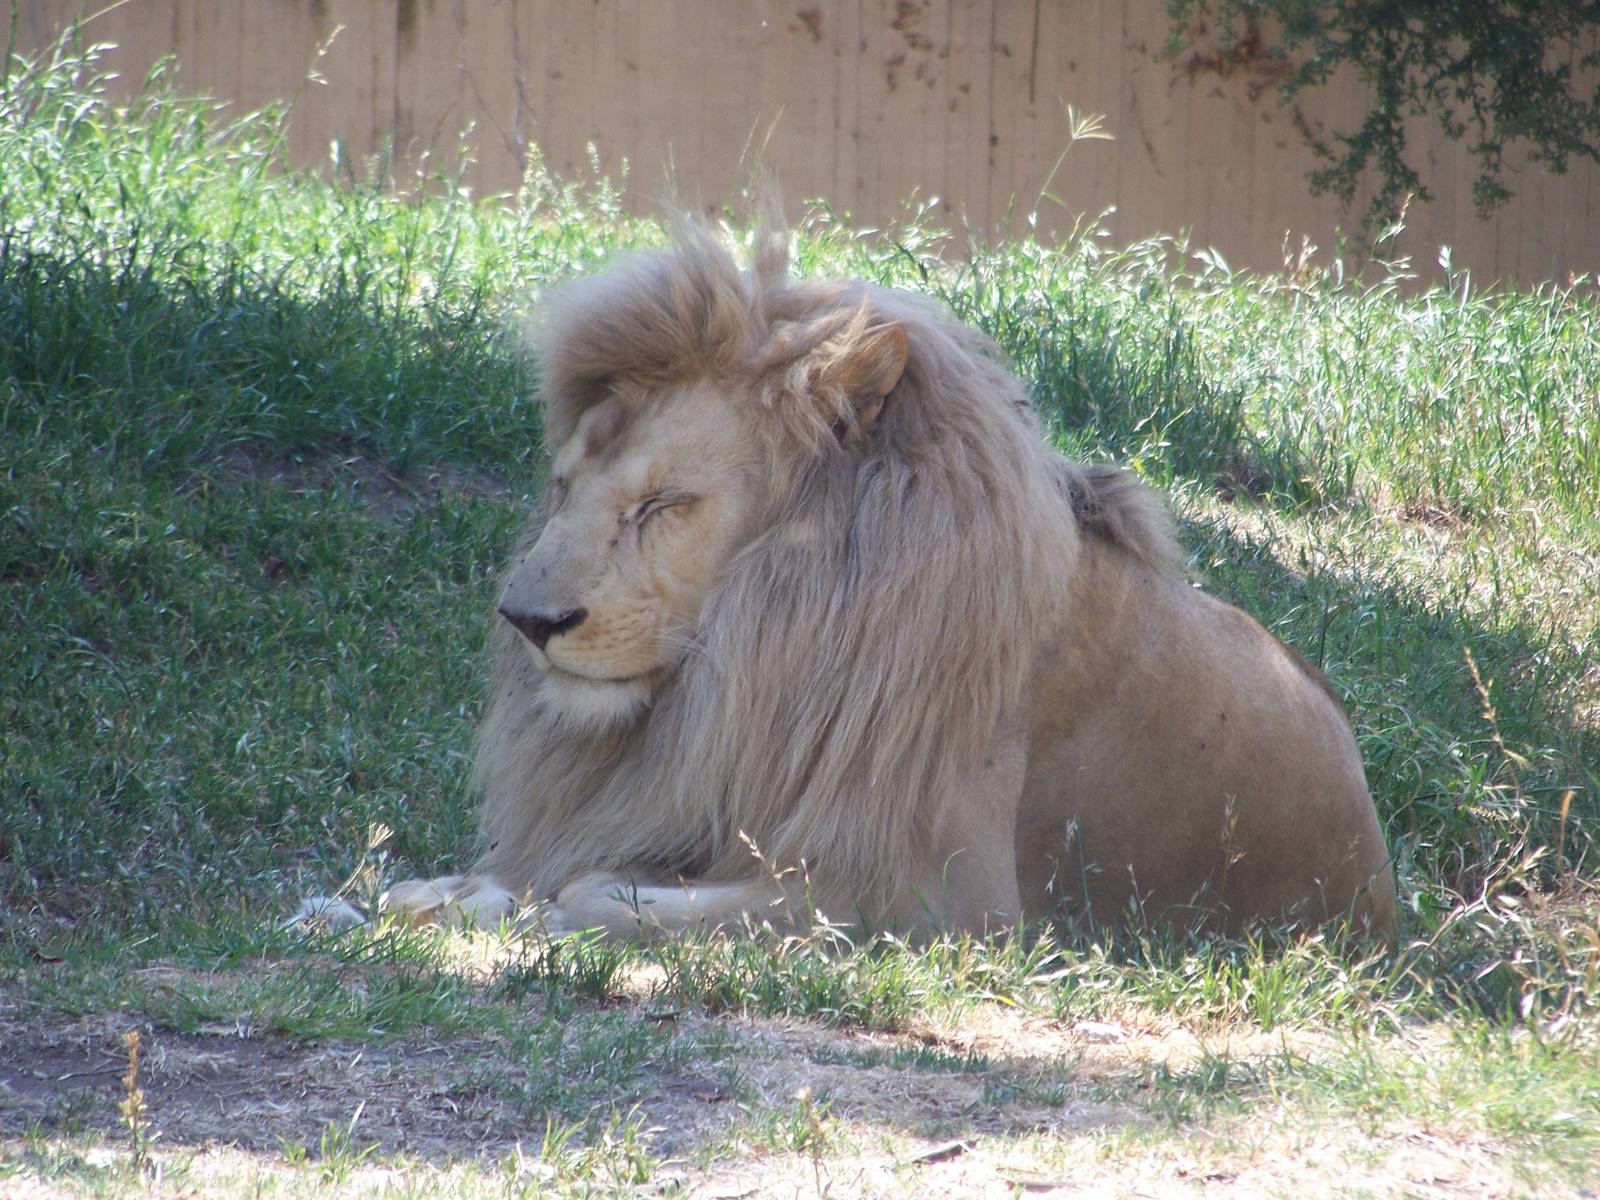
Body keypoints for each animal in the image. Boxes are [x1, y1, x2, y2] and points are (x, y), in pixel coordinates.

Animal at [381, 222, 1397, 945]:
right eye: (562, 487)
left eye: (663, 504)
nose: (525, 619)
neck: (761, 651)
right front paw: (444, 893)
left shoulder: (943, 904)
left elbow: (602, 892)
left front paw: (557, 902)